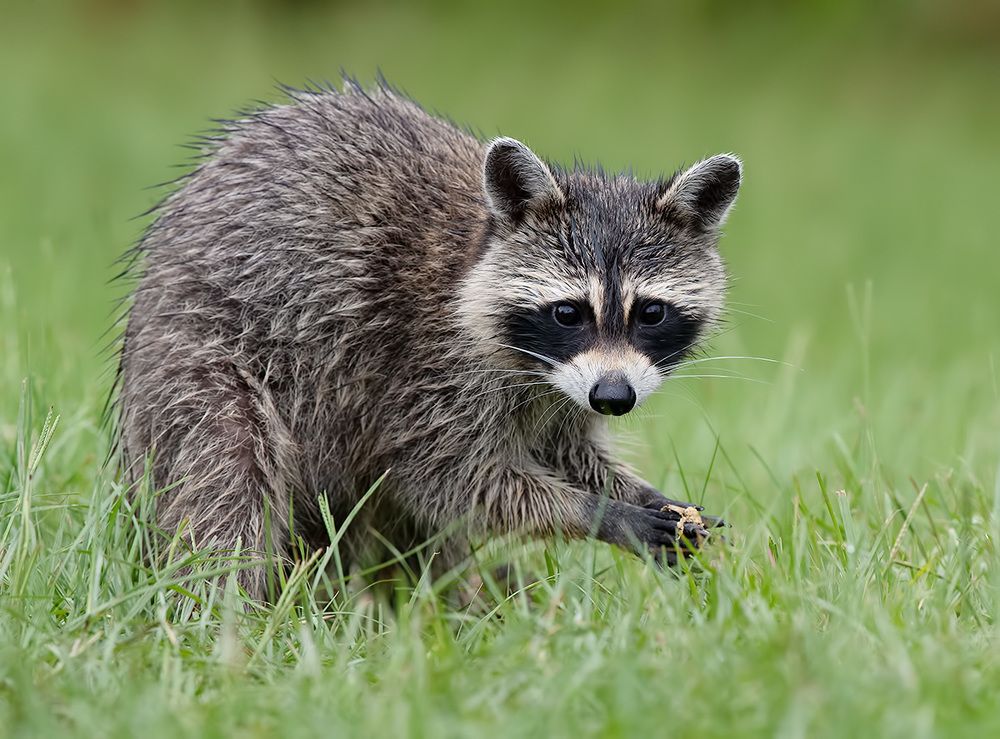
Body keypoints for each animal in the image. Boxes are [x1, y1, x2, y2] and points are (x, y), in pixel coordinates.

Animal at [116, 81, 741, 600]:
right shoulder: (422, 361)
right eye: (568, 313)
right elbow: (446, 478)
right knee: (228, 474)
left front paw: (635, 493)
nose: (614, 399)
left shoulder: (566, 390)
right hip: (200, 355)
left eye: (651, 313)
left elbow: (563, 450)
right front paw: (595, 512)